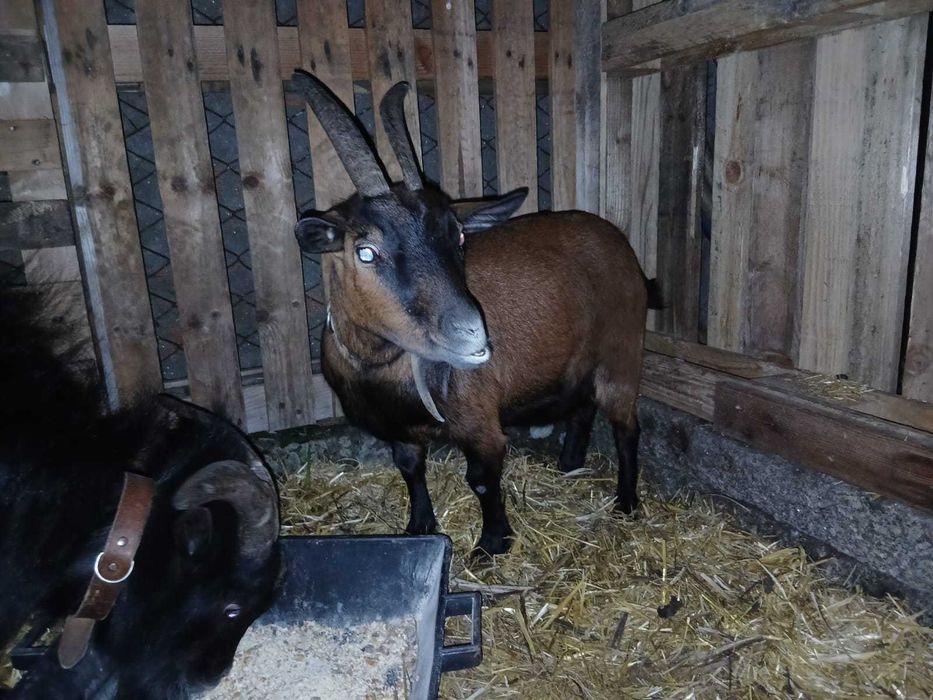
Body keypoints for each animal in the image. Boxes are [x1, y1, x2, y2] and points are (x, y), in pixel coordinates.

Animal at [292, 70, 657, 557]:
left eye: (460, 237)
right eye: (366, 251)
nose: (472, 335)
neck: (383, 369)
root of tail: (617, 240)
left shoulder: (479, 421)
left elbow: (482, 479)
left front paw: (492, 544)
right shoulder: (398, 428)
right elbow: (409, 467)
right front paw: (419, 527)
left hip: (621, 353)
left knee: (625, 426)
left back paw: (626, 502)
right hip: (577, 361)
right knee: (581, 406)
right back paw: (569, 464)